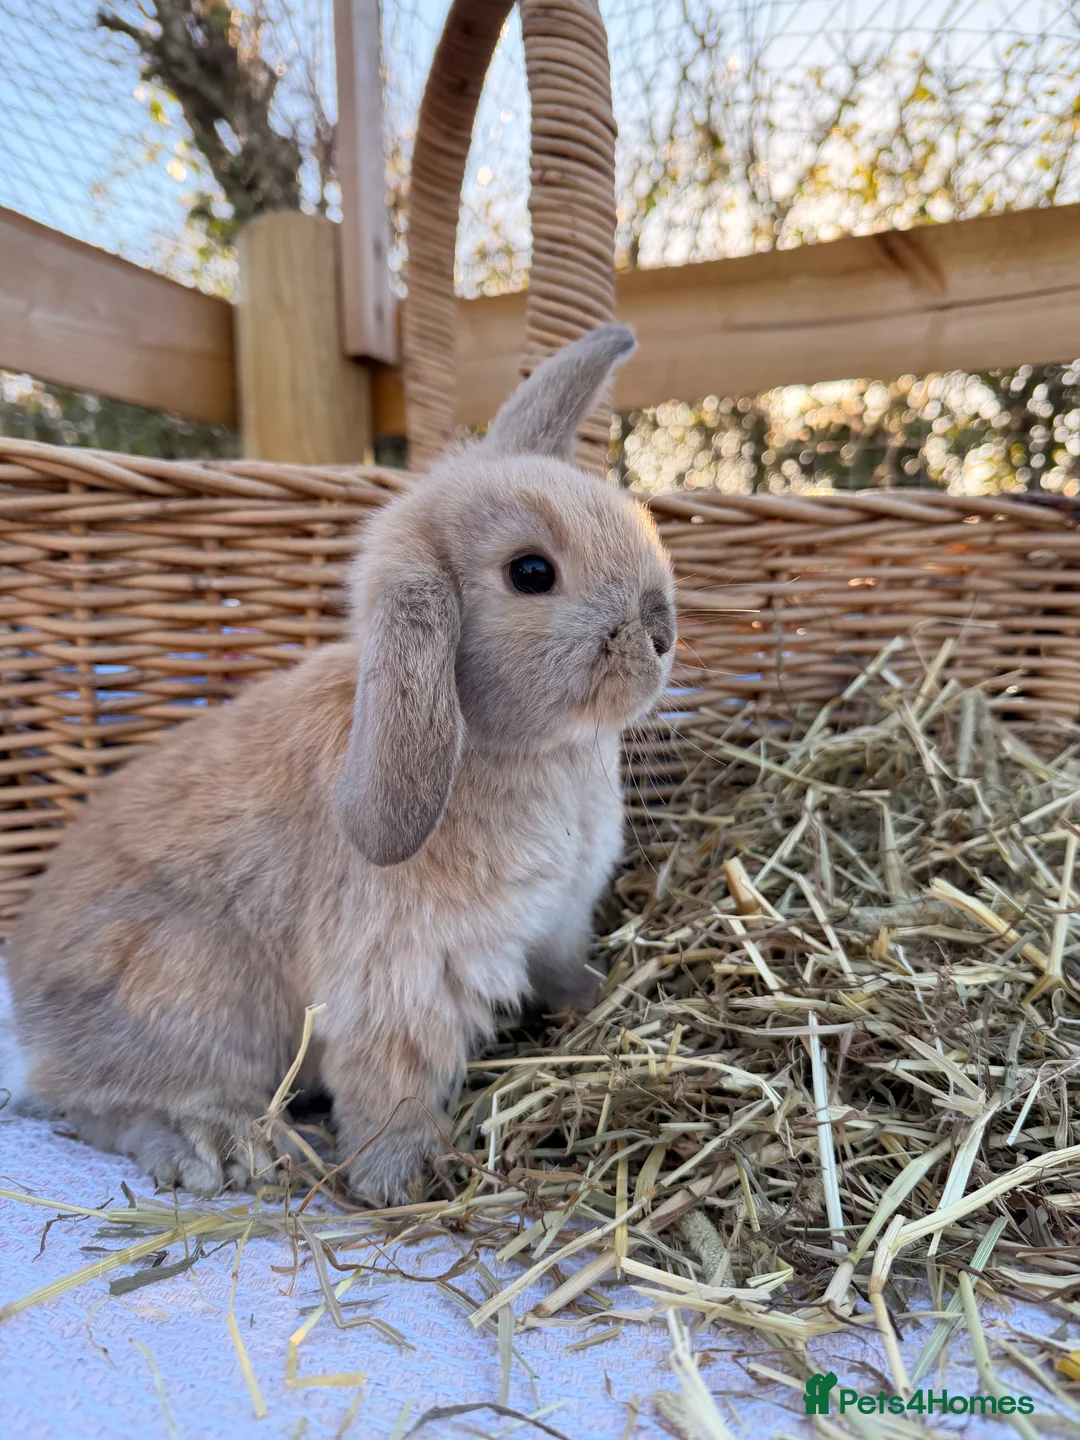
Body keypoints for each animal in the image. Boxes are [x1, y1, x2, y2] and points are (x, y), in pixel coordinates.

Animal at [5, 324, 676, 1203]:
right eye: (531, 572)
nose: (663, 631)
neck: (515, 745)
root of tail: (25, 1020)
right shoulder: (401, 982)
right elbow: (393, 1085)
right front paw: (400, 1183)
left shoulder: (558, 925)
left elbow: (565, 972)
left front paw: (598, 997)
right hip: (179, 987)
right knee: (103, 1106)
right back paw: (222, 1145)